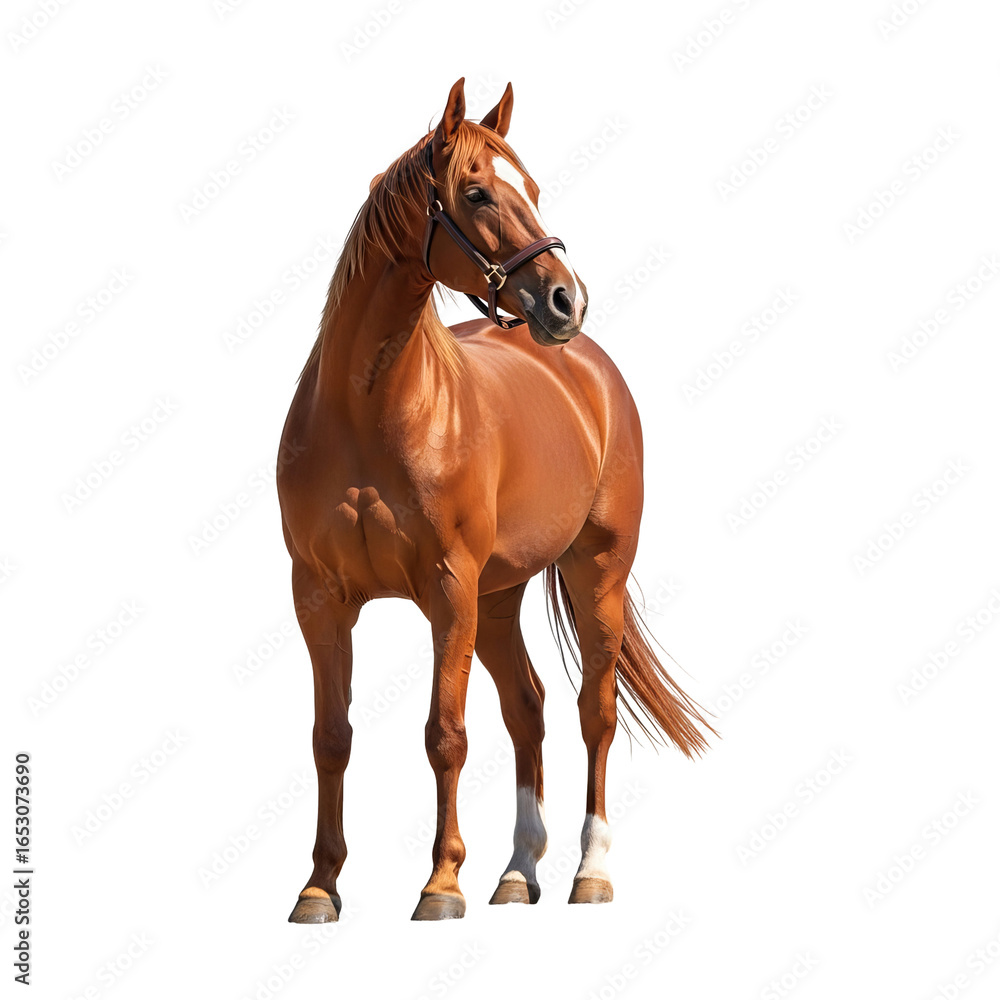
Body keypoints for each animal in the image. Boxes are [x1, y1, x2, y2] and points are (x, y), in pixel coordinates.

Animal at [277, 78, 715, 922]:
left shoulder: (448, 590)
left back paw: (588, 872)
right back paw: (517, 874)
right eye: (477, 192)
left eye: (532, 192)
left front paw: (441, 885)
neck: (369, 411)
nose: (565, 301)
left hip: (594, 574)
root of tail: (590, 371)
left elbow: (445, 733)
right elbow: (328, 737)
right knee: (529, 709)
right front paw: (319, 887)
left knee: (593, 712)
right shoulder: (320, 596)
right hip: (500, 597)